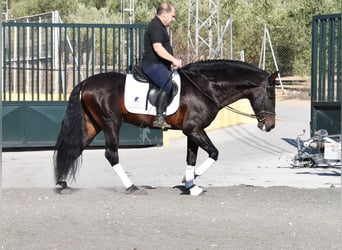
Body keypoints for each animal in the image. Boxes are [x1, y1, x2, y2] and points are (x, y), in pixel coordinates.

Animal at [53, 60, 278, 195]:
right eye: (270, 95)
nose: (270, 125)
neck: (205, 88)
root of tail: (86, 83)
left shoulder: (192, 131)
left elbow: (191, 158)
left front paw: (190, 185)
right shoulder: (194, 130)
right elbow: (214, 153)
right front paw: (189, 181)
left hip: (93, 125)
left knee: (75, 148)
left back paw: (62, 184)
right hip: (111, 123)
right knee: (111, 154)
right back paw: (132, 187)